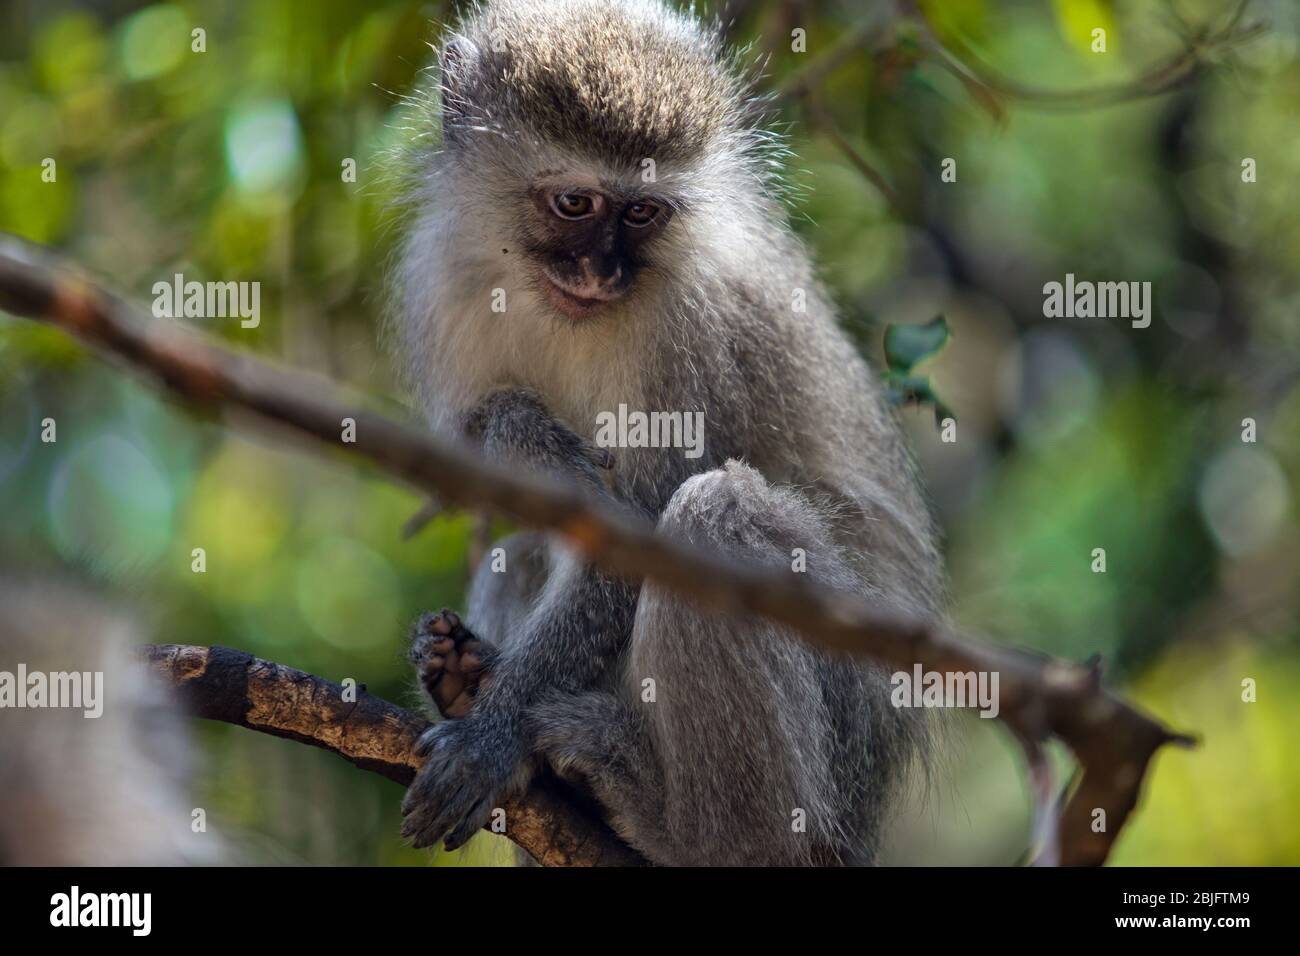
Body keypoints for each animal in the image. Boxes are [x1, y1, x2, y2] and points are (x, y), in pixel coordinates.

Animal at [389, 0, 944, 866]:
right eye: (575, 205)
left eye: (642, 212)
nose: (600, 275)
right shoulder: (444, 282)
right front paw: (518, 432)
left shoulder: (692, 332)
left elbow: (633, 546)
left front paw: (490, 738)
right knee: (529, 544)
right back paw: (467, 678)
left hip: (846, 744)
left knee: (714, 516)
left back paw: (683, 827)